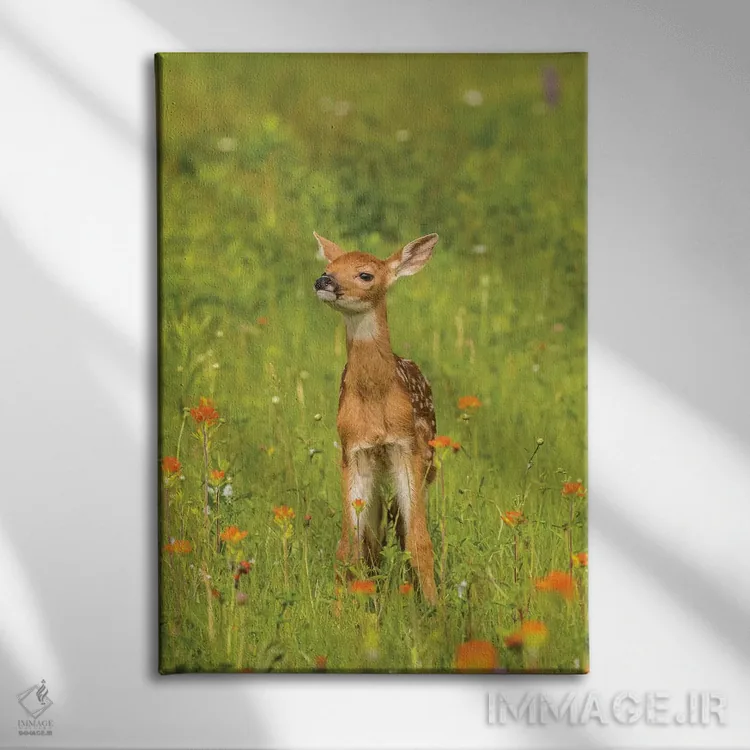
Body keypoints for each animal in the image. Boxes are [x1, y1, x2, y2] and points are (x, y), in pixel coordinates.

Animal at [313, 231, 440, 605]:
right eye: (329, 267)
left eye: (366, 274)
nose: (324, 281)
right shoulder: (353, 451)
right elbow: (349, 545)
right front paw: (342, 610)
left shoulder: (406, 447)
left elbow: (419, 539)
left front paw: (435, 607)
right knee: (374, 536)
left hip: (427, 460)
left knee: (398, 527)